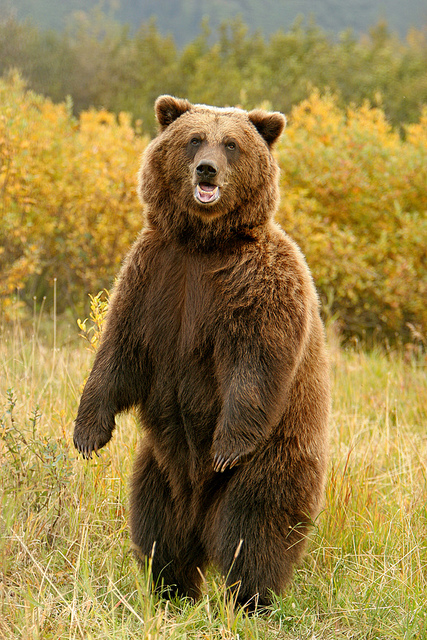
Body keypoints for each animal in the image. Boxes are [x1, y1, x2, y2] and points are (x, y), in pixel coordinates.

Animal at [73, 95, 330, 609]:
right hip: (158, 467)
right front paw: (87, 434)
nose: (206, 169)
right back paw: (171, 590)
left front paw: (227, 446)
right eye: (194, 139)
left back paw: (250, 600)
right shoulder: (154, 278)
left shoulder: (256, 286)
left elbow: (256, 361)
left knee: (253, 531)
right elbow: (118, 353)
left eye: (231, 144)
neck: (203, 243)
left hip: (275, 457)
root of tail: (199, 514)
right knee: (158, 528)